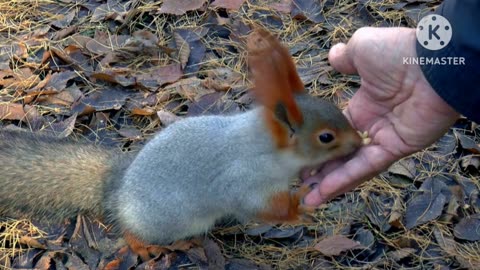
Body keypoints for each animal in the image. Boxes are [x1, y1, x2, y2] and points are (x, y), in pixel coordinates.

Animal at [0, 28, 362, 262]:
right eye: (326, 137)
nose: (359, 143)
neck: (265, 146)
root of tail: (117, 187)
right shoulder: (242, 180)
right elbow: (257, 207)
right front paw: (298, 207)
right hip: (166, 220)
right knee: (132, 230)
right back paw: (143, 246)